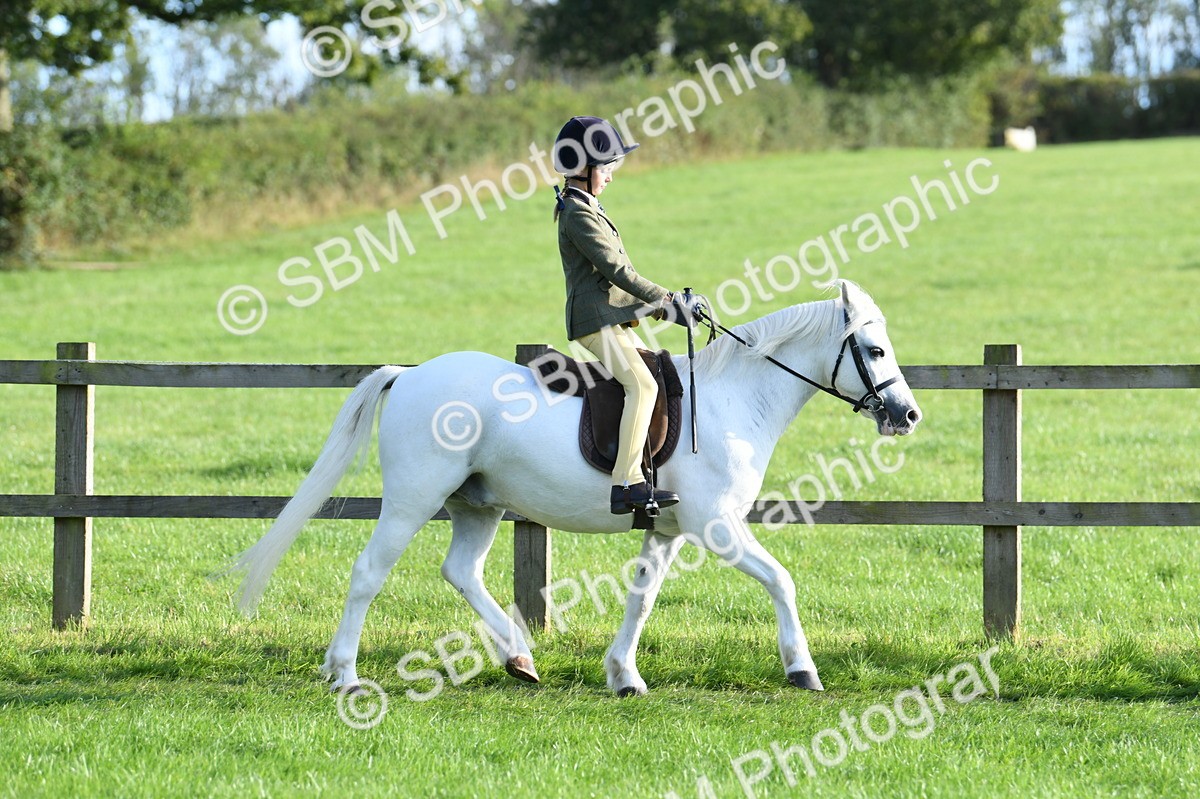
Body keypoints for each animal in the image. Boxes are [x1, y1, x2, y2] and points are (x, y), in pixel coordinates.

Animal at [230, 280, 922, 696]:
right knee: (368, 572)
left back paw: (519, 658)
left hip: (477, 504)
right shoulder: (716, 526)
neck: (732, 397)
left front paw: (623, 676)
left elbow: (641, 599)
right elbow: (781, 580)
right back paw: (344, 673)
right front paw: (801, 668)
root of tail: (411, 374)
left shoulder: (668, 530)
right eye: (875, 350)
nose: (908, 415)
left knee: (461, 571)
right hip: (412, 500)